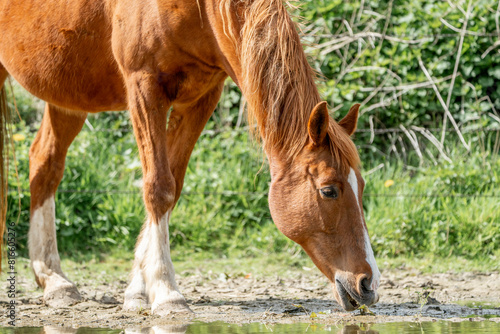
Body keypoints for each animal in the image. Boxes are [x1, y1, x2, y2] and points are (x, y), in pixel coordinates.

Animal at [0, 0, 380, 314]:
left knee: (45, 165)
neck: (200, 10)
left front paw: (139, 289)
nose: (369, 284)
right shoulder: (145, 88)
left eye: (362, 186)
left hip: (67, 97)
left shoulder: (201, 96)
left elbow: (174, 184)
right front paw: (167, 292)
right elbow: (158, 187)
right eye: (328, 190)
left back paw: (54, 280)